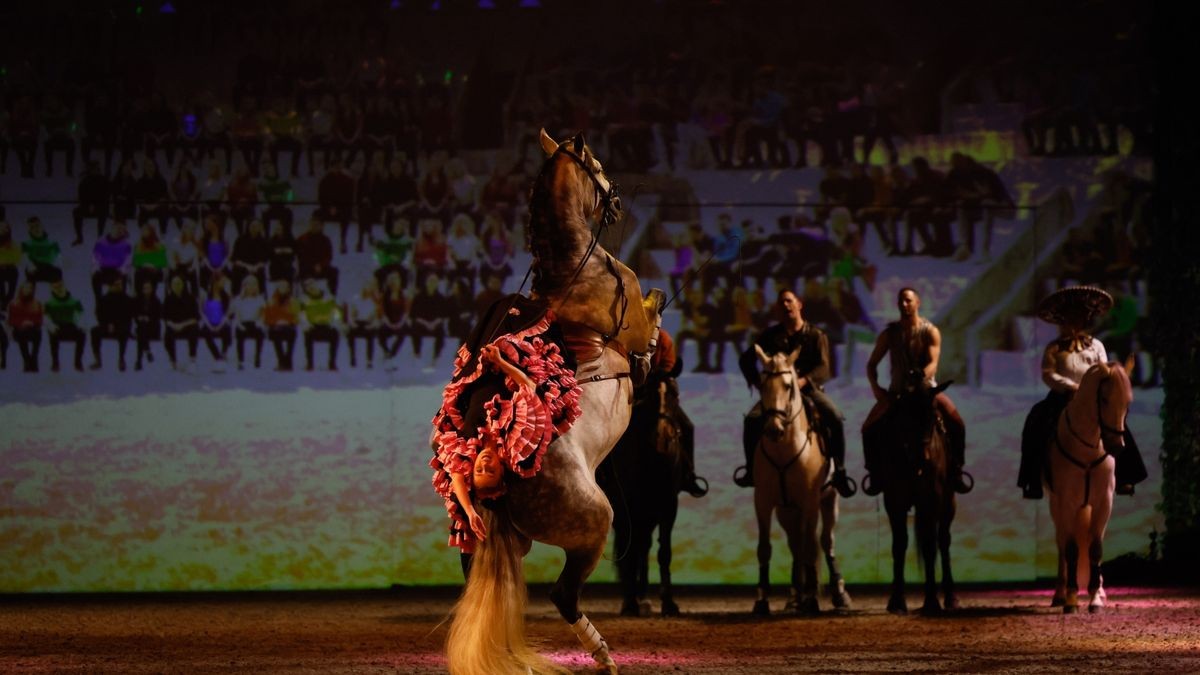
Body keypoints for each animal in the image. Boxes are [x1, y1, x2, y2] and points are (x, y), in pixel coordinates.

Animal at [446, 128, 667, 667]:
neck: (574, 269)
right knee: (564, 595)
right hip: (595, 526)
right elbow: (651, 307)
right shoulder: (631, 322)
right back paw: (604, 658)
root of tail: (496, 484)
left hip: (498, 544)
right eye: (599, 165)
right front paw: (654, 338)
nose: (616, 200)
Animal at [1046, 360, 1128, 612]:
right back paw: (1060, 594)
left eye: (1127, 402)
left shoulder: (1104, 503)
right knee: (1061, 543)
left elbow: (1095, 548)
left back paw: (1099, 591)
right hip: (1056, 506)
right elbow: (1072, 549)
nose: (1117, 446)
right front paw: (1071, 599)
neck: (1088, 447)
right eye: (1104, 399)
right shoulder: (1067, 503)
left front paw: (1095, 598)